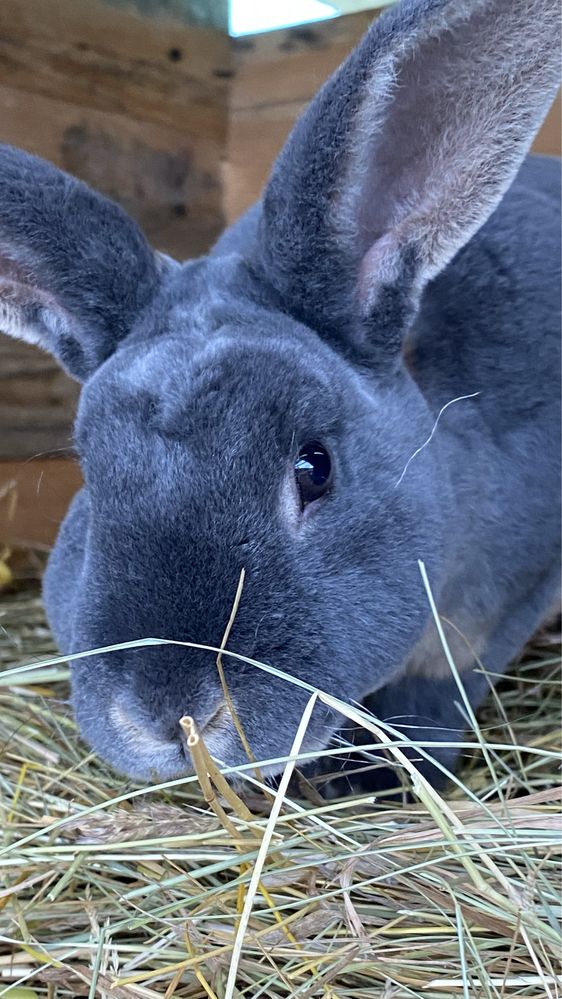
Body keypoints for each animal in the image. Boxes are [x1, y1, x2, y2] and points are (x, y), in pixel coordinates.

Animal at [0, 0, 556, 792]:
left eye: (314, 467)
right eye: (91, 479)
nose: (171, 714)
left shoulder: (508, 601)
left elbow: (434, 702)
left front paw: (379, 780)